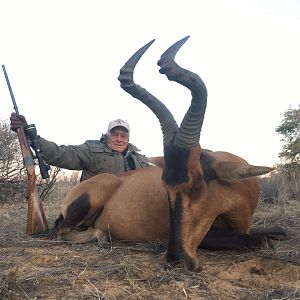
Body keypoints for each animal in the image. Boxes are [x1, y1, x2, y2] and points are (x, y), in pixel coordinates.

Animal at [45, 38, 286, 270]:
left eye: (197, 182)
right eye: (165, 186)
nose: (175, 258)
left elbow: (280, 230)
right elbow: (261, 241)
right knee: (58, 233)